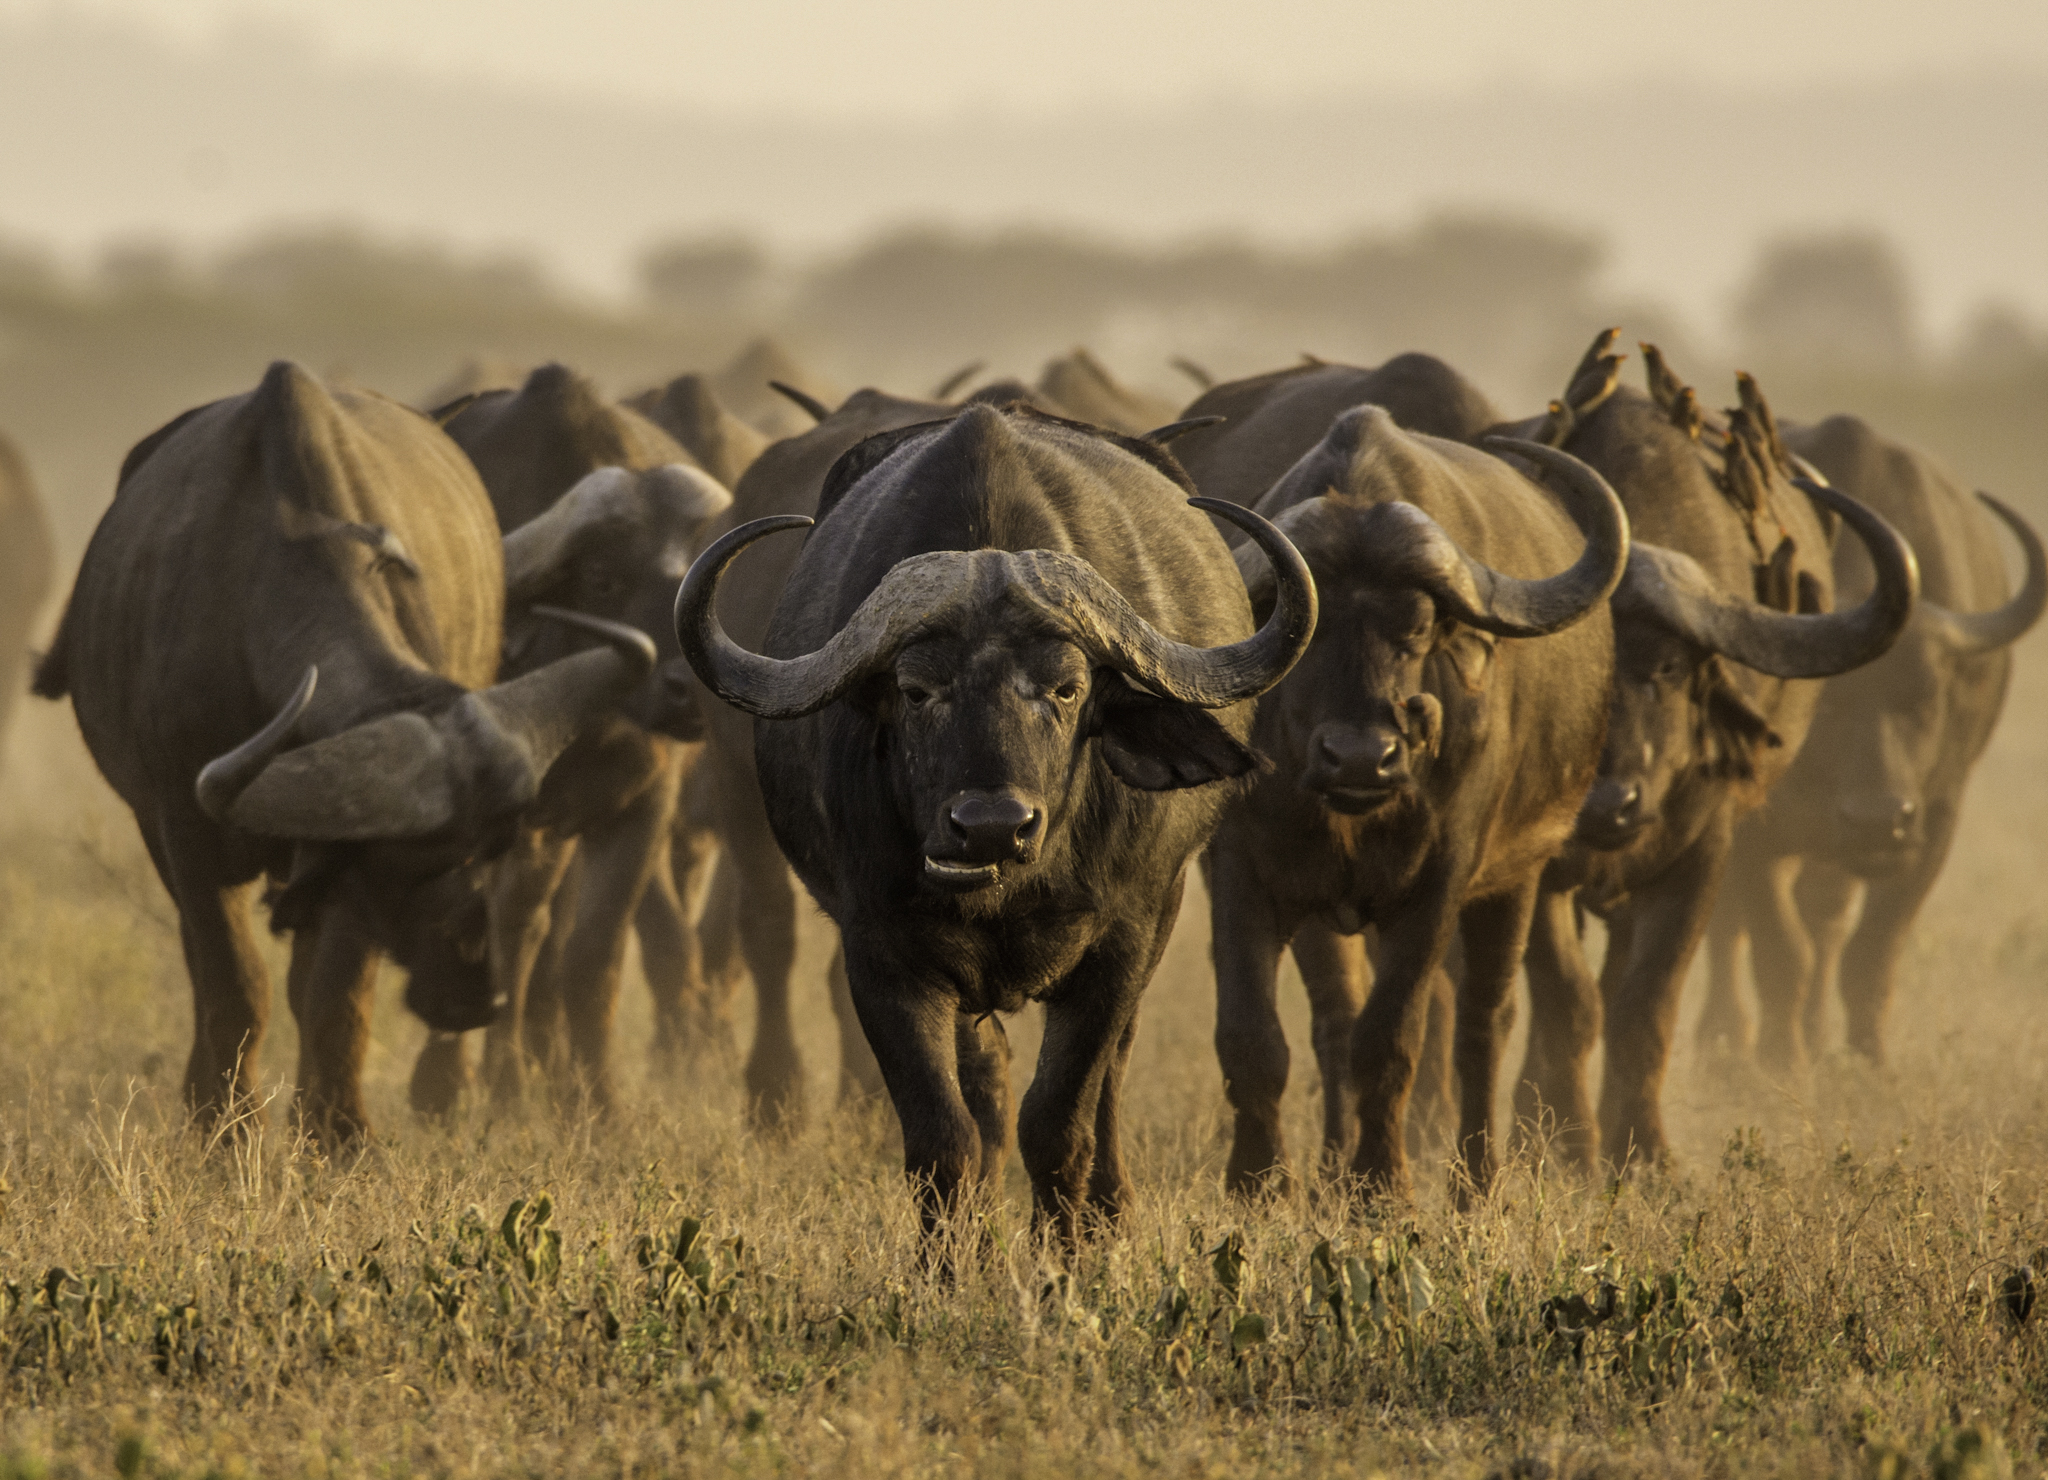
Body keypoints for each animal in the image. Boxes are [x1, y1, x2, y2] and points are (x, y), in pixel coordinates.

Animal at [33, 362, 651, 1139]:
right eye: (409, 864)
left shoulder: (338, 872)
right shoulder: (186, 830)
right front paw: (226, 1126)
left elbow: (335, 992)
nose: (476, 996)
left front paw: (337, 1131)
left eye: (493, 850)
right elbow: (234, 981)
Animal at [678, 403, 1317, 1240]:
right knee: (985, 1086)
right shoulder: (881, 954)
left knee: (1108, 1077)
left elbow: (1060, 1123)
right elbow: (943, 1136)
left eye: (1068, 688)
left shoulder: (1120, 942)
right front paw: (953, 1258)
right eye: (917, 690)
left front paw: (1067, 1252)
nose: (990, 826)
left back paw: (1108, 1207)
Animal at [1700, 415, 2044, 1068]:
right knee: (1732, 927)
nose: (1877, 820)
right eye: (1828, 702)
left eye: (1927, 698)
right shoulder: (1753, 828)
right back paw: (1728, 1036)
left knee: (1826, 917)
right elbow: (1779, 948)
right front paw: (1781, 1060)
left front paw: (1870, 1060)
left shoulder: (1935, 822)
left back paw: (1814, 1034)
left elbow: (1871, 952)